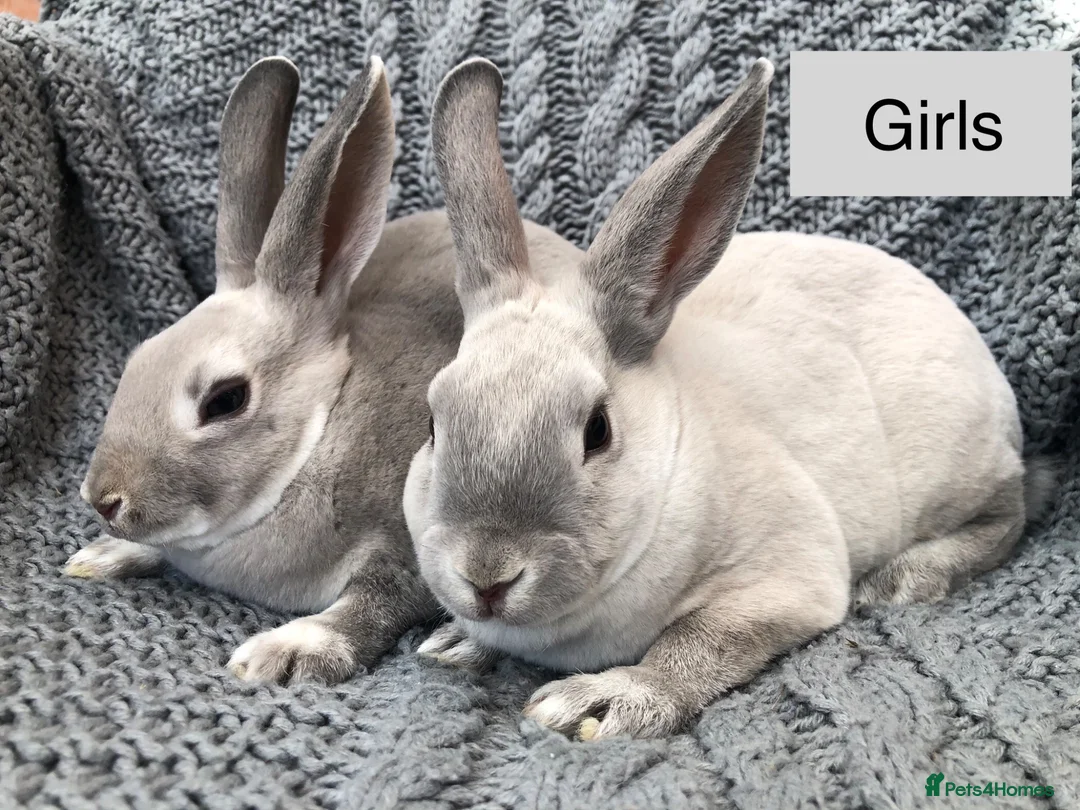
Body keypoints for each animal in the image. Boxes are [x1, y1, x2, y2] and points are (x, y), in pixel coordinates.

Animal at [64, 54, 463, 685]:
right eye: (136, 361)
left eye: (225, 400)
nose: (103, 499)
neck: (317, 438)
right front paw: (102, 556)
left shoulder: (413, 549)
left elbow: (374, 604)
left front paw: (285, 651)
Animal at [402, 57, 1052, 740]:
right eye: (432, 423)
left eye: (597, 431)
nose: (487, 576)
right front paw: (455, 644)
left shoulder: (784, 576)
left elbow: (701, 640)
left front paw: (602, 702)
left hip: (957, 466)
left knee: (1009, 514)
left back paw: (897, 582)